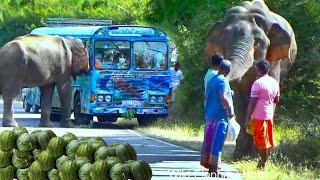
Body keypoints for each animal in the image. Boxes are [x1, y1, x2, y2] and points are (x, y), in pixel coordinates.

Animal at [205, 0, 298, 158]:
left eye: (258, 43)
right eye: (224, 39)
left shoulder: (275, 60)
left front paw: (255, 156)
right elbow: (240, 96)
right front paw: (238, 156)